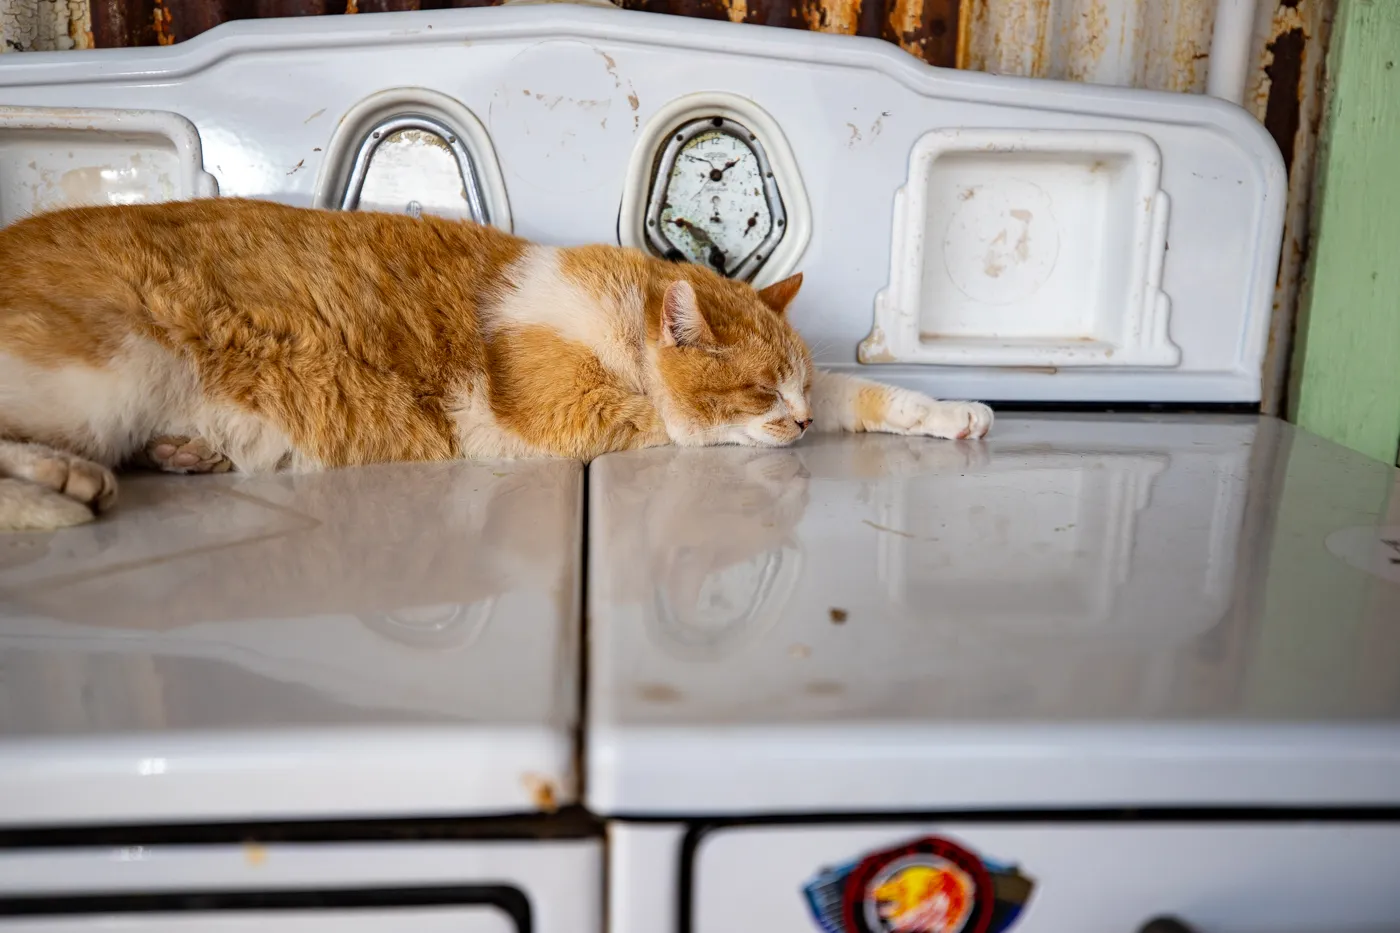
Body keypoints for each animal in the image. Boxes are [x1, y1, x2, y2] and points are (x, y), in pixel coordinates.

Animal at [0, 197, 991, 526]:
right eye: (757, 388)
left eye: (800, 386)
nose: (796, 418)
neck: (614, 317)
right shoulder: (564, 417)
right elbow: (681, 426)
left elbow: (870, 393)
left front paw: (952, 413)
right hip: (109, 371)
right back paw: (65, 488)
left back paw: (179, 453)